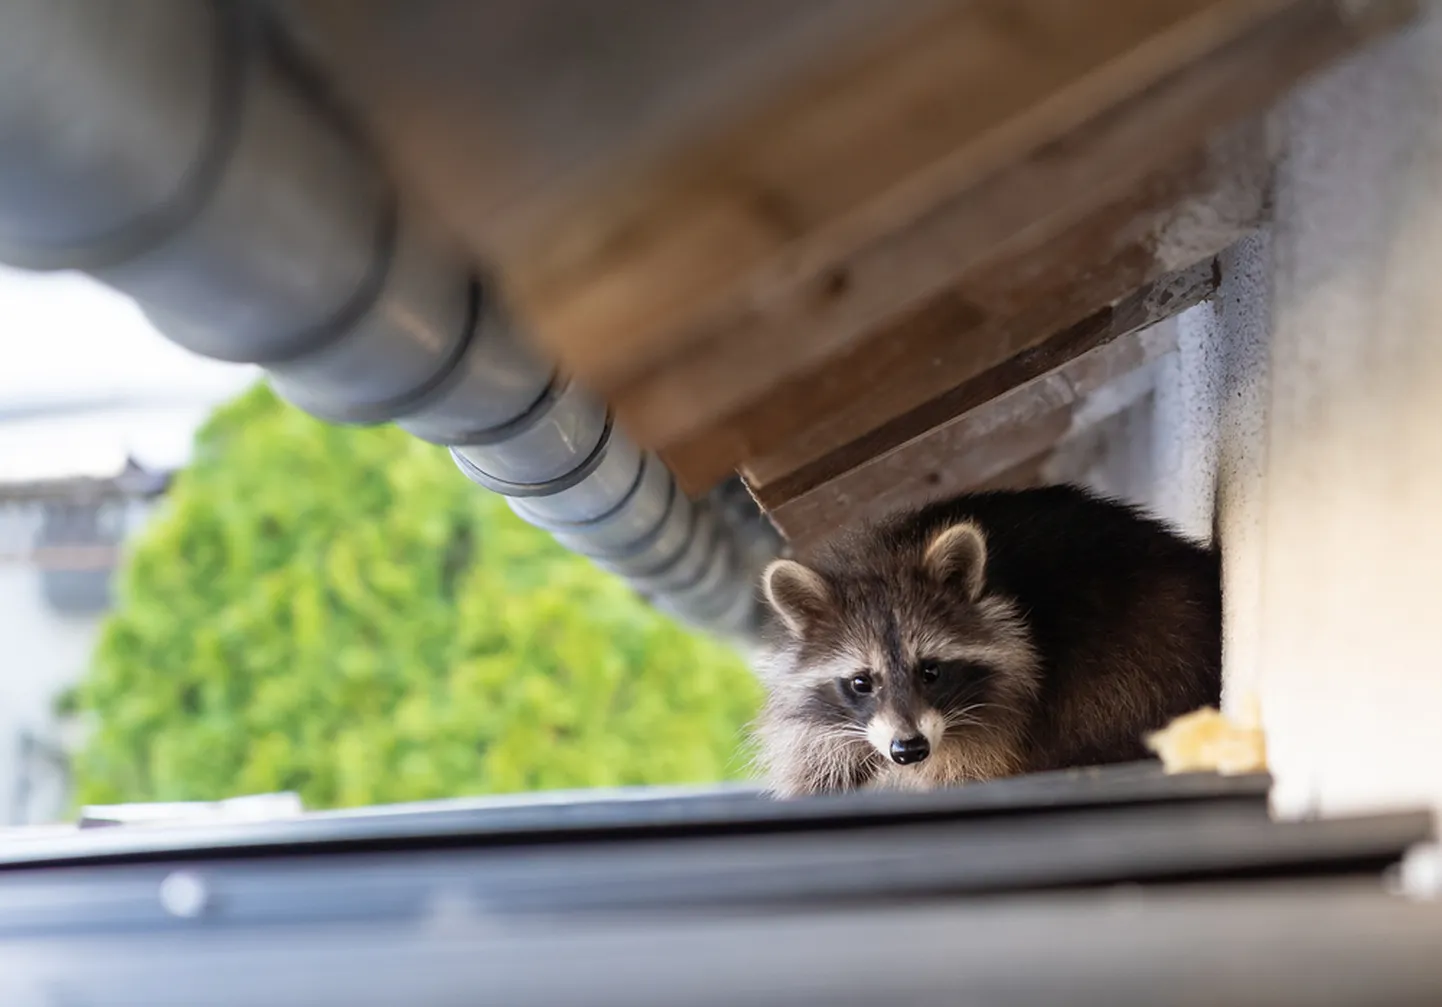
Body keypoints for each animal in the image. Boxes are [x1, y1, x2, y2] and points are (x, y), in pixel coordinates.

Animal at [755, 481, 1217, 796]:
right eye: (861, 682)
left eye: (931, 671)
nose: (909, 749)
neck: (884, 558)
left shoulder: (1004, 715)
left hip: (1145, 646)